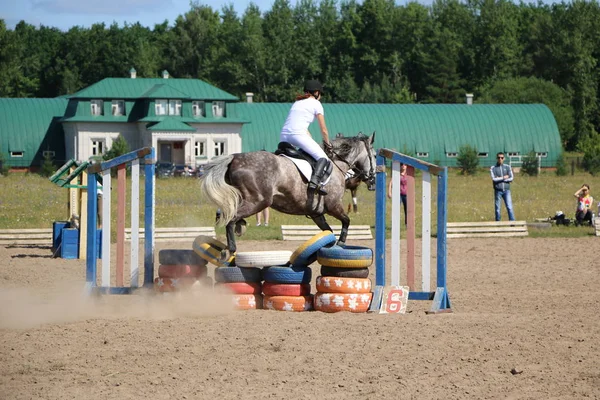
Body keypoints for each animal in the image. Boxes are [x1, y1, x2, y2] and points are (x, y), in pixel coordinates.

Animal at [200, 133, 376, 258]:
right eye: (374, 156)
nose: (373, 180)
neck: (337, 164)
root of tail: (235, 158)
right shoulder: (334, 206)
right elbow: (346, 221)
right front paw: (341, 243)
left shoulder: (316, 214)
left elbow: (329, 232)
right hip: (258, 201)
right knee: (230, 219)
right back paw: (231, 249)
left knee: (227, 214)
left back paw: (237, 230)